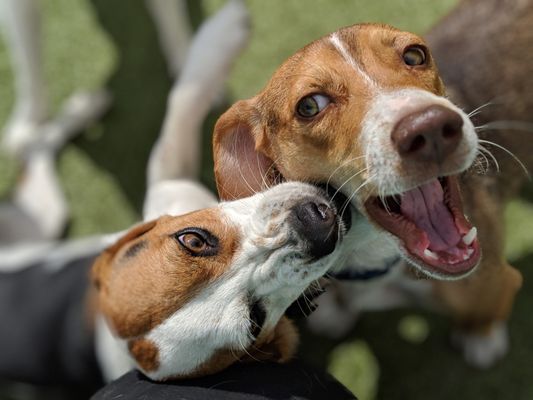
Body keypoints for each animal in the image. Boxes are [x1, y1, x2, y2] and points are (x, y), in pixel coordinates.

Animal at [211, 21, 524, 366]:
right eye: (310, 106)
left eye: (415, 55)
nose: (429, 127)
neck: (371, 261)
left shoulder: (502, 281)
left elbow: (485, 311)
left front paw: (482, 337)